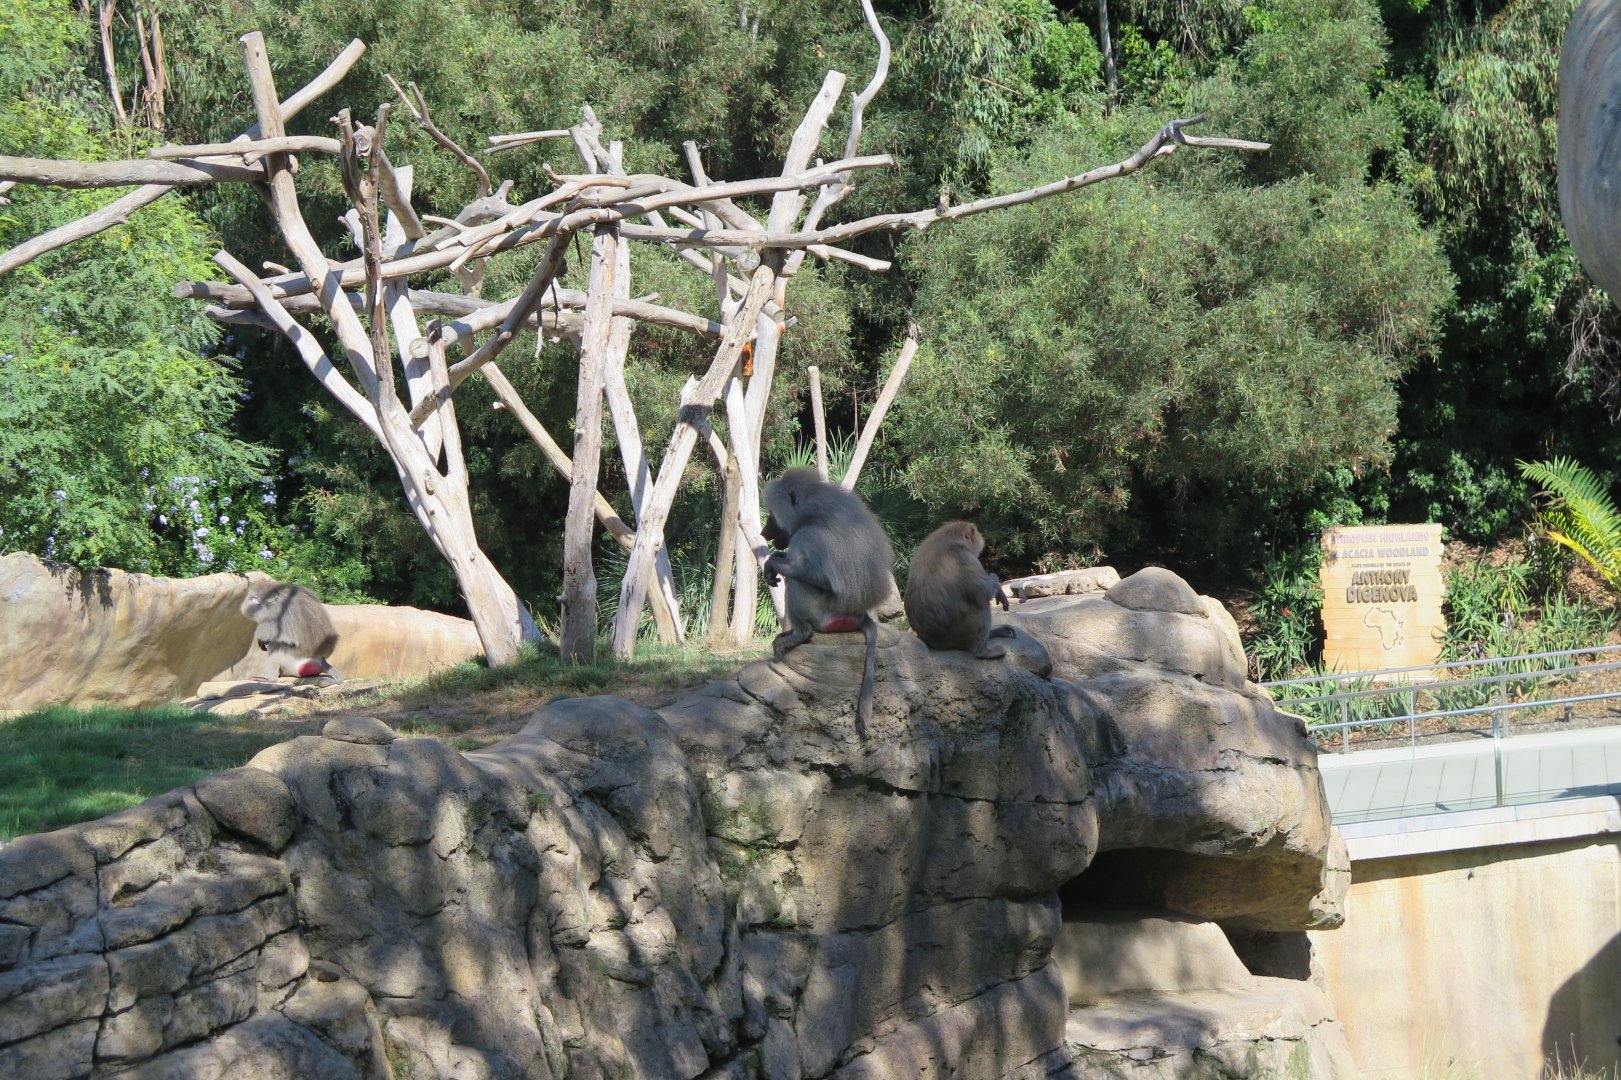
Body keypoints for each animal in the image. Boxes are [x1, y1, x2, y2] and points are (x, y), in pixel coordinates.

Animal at [761, 468, 895, 734]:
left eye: (772, 516)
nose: (763, 532)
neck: (811, 511)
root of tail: (860, 615)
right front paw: (776, 557)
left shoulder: (807, 536)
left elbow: (822, 579)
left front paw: (773, 563)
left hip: (827, 616)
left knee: (797, 581)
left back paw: (798, 635)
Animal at [903, 521, 1016, 659]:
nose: (981, 537)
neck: (950, 539)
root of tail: (931, 642)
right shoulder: (965, 557)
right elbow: (985, 591)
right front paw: (997, 586)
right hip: (959, 635)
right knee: (981, 603)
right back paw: (983, 652)